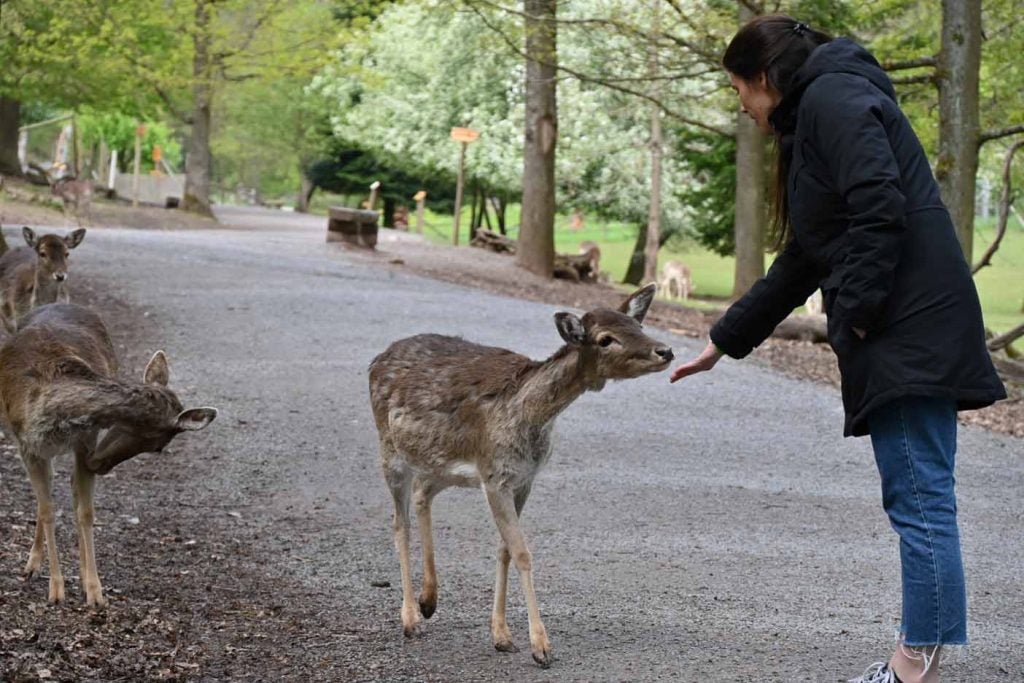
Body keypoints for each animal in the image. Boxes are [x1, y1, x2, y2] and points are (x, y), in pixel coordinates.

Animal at [1, 301, 218, 606]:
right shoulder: (27, 445)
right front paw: (56, 590)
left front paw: (94, 590)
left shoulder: (85, 438)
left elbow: (86, 512)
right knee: (51, 492)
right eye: (158, 446)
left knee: (72, 489)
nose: (99, 466)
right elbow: (47, 511)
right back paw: (32, 565)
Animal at [368, 284, 671, 667]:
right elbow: (522, 551)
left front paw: (501, 635)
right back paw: (410, 618)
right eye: (605, 339)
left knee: (423, 492)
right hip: (390, 450)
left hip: (442, 462)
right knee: (399, 523)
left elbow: (505, 550)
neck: (529, 414)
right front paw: (541, 646)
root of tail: (377, 359)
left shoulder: (523, 479)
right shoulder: (495, 475)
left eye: (638, 325)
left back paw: (429, 599)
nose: (665, 350)